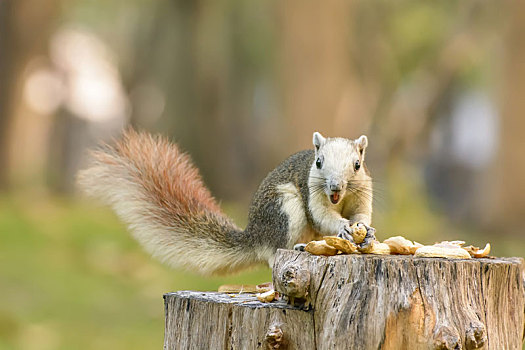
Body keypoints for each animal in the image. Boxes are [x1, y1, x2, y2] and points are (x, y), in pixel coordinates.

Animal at [75, 130, 374, 274]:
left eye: (357, 165)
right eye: (319, 162)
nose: (335, 186)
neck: (339, 199)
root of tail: (255, 235)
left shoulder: (362, 193)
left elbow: (362, 214)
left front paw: (365, 231)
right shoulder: (313, 194)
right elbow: (322, 216)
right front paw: (343, 227)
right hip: (284, 209)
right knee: (275, 252)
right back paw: (298, 247)